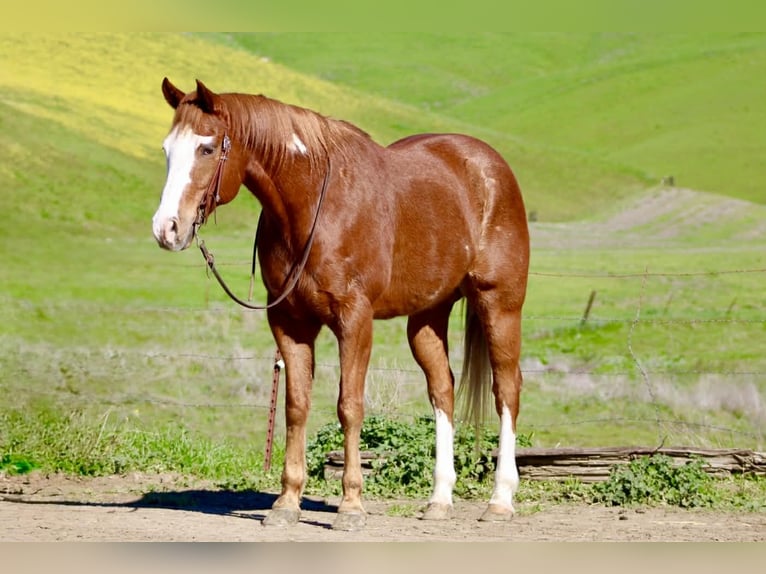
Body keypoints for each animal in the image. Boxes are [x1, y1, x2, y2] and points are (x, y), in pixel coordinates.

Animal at [152, 78, 530, 531]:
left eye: (207, 149)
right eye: (167, 149)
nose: (166, 228)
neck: (313, 205)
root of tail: (491, 166)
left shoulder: (355, 319)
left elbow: (349, 406)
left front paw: (350, 504)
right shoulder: (289, 322)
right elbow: (296, 407)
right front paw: (287, 502)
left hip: (500, 305)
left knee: (506, 389)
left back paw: (501, 499)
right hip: (426, 317)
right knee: (443, 390)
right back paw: (439, 499)